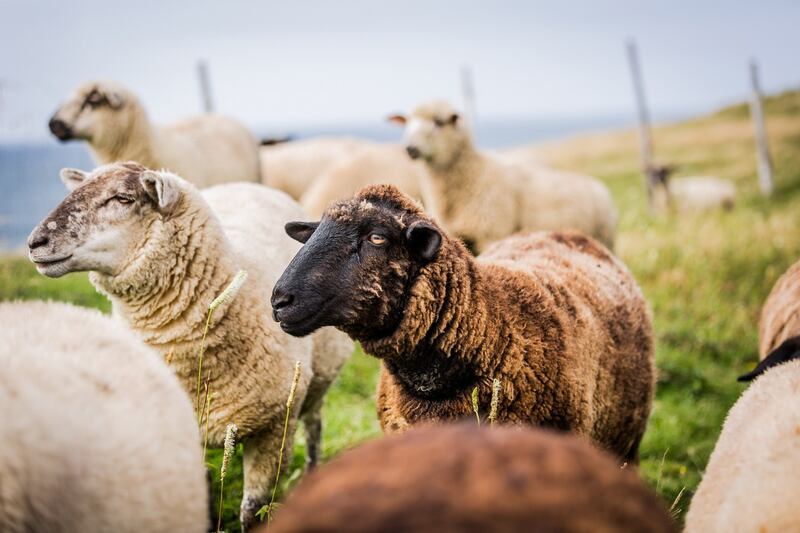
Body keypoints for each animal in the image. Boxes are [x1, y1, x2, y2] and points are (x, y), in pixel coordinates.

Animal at [27, 162, 353, 531]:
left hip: (317, 384)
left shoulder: (274, 429)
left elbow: (253, 511)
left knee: (314, 429)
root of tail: (251, 184)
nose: (35, 242)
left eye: (122, 198)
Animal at [388, 101, 618, 252]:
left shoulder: (491, 234)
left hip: (605, 238)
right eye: (407, 123)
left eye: (438, 122)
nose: (410, 148)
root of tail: (596, 184)